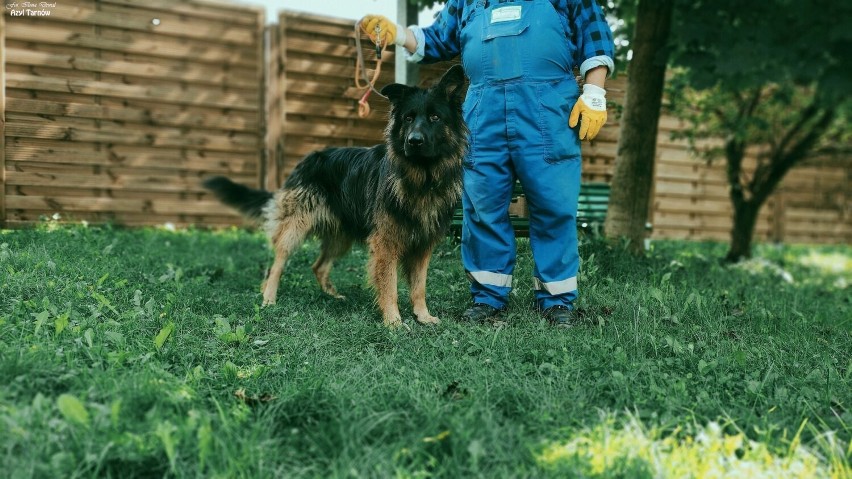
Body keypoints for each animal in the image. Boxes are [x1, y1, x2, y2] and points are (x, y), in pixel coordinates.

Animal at [204, 65, 470, 328]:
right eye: (408, 118)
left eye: (435, 117)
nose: (413, 141)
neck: (422, 178)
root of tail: (306, 160)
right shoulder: (385, 243)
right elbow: (390, 285)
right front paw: (393, 322)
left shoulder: (424, 245)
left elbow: (419, 286)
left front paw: (422, 316)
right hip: (295, 228)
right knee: (277, 263)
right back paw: (269, 297)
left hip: (341, 236)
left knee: (318, 266)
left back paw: (332, 296)